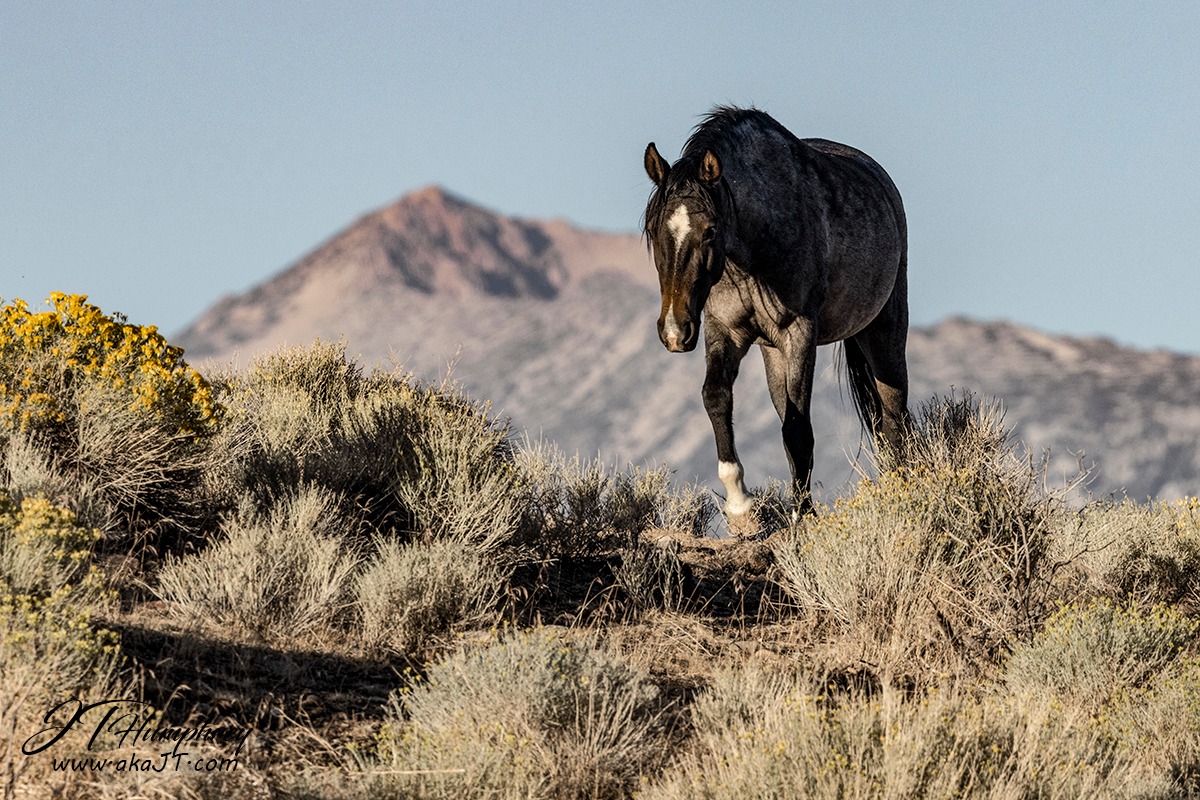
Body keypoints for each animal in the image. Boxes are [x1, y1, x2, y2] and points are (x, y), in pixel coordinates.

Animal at [642, 106, 910, 521]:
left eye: (710, 230)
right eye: (654, 230)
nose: (675, 331)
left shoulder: (799, 334)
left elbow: (799, 430)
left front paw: (803, 516)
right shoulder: (725, 332)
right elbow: (717, 396)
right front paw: (740, 504)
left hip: (884, 334)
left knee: (896, 416)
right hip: (773, 356)